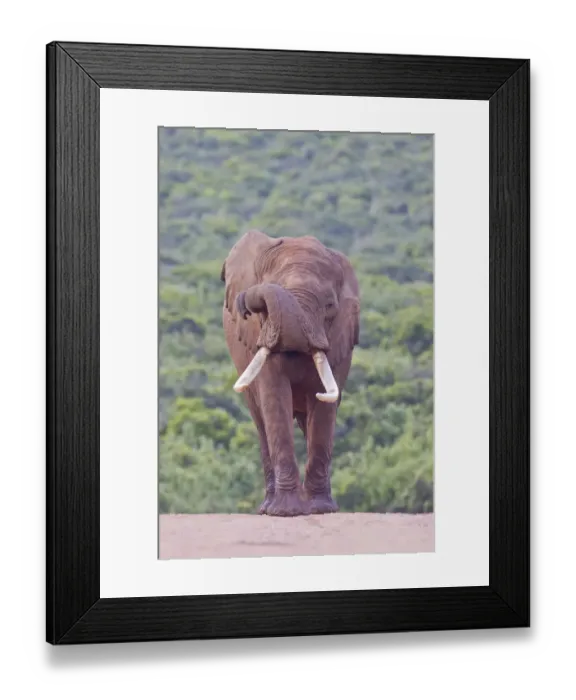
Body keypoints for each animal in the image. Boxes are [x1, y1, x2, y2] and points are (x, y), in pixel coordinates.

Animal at [221, 229, 360, 517]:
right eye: (260, 311)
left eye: (329, 306)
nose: (244, 302)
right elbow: (275, 397)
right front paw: (286, 512)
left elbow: (322, 404)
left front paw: (319, 510)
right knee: (261, 423)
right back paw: (267, 508)